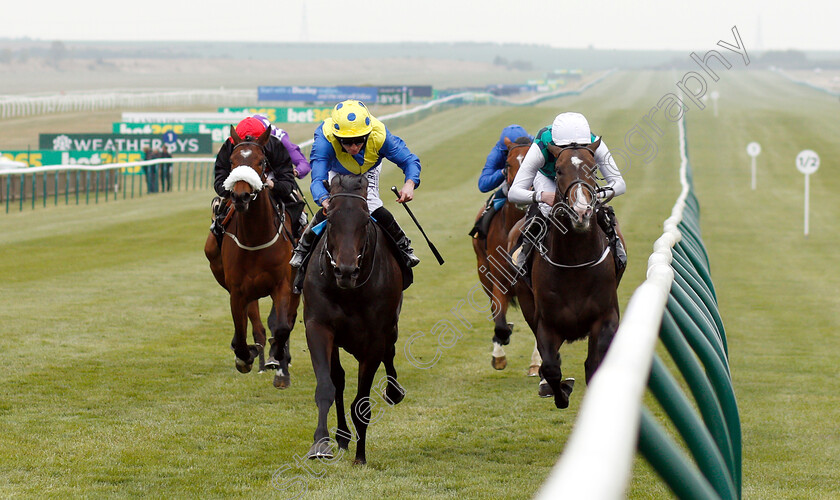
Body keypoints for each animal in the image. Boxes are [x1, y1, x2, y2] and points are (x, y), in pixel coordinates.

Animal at [203, 126, 298, 390]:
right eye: (232, 162)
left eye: (261, 161)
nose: (241, 196)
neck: (256, 238)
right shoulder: (237, 290)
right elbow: (240, 331)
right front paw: (244, 357)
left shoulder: (282, 285)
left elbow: (282, 326)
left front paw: (281, 369)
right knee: (256, 325)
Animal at [304, 175, 406, 464]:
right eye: (330, 219)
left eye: (364, 221)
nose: (346, 271)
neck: (349, 292)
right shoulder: (318, 326)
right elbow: (327, 386)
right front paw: (321, 443)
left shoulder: (375, 338)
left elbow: (362, 402)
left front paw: (361, 457)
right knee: (338, 379)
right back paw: (341, 436)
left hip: (391, 328)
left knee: (390, 354)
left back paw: (394, 392)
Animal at [470, 137, 540, 376]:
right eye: (508, 164)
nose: (524, 190)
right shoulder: (498, 279)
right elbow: (499, 321)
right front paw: (499, 353)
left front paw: (536, 363)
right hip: (483, 273)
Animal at [508, 139, 620, 408]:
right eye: (558, 170)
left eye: (593, 168)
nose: (581, 211)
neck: (576, 262)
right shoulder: (547, 323)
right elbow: (550, 366)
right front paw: (561, 390)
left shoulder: (606, 316)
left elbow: (594, 362)